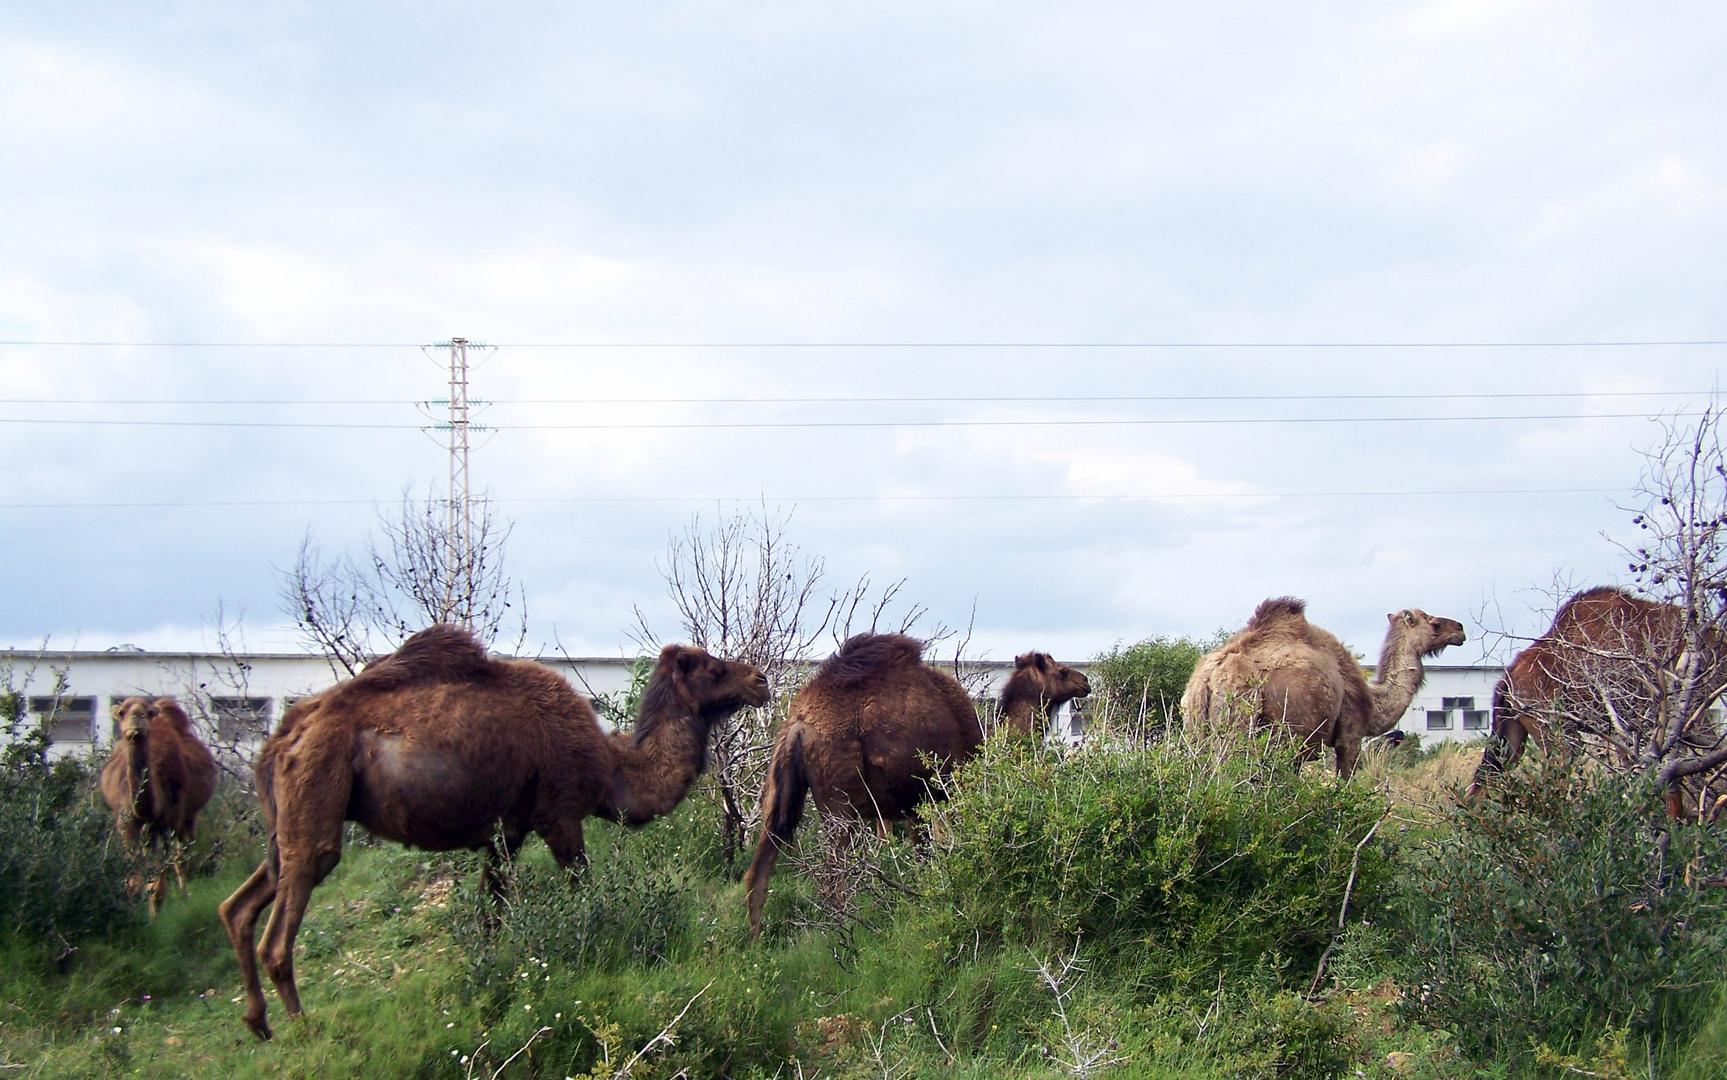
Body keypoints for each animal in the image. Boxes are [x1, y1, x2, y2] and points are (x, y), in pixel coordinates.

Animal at [98, 694, 215, 912]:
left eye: (149, 712)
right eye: (122, 712)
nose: (137, 716)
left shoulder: (164, 823)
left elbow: (157, 884)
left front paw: (155, 914)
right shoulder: (127, 823)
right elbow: (133, 881)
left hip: (187, 817)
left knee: (181, 857)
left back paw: (185, 895)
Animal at [214, 622, 763, 1036]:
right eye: (714, 667)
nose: (759, 679)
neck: (612, 768)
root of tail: (284, 735)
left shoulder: (509, 832)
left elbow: (489, 916)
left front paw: (491, 981)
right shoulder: (559, 815)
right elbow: (584, 892)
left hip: (284, 823)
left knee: (239, 905)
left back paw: (259, 1024)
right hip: (317, 792)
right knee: (279, 934)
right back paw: (302, 1029)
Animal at [739, 632, 1084, 933]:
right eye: (1062, 670)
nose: (1086, 682)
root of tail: (799, 725)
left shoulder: (914, 805)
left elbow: (922, 858)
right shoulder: (949, 792)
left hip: (781, 786)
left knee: (760, 865)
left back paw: (756, 942)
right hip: (841, 799)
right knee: (832, 877)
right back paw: (841, 931)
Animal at [1181, 597, 1464, 774]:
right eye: (1434, 623)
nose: (1460, 629)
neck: (1374, 703)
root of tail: (1206, 679)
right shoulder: (1351, 733)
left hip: (1194, 727)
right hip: (1238, 719)